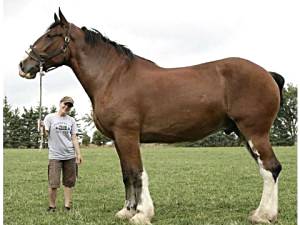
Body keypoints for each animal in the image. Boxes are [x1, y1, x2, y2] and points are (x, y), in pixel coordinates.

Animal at [18, 8, 284, 223]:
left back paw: (263, 215)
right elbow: (127, 174)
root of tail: (267, 74)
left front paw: (142, 214)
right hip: (244, 133)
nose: (24, 65)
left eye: (50, 36)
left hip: (254, 132)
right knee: (268, 169)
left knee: (271, 168)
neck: (113, 76)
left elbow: (137, 172)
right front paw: (127, 211)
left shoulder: (127, 134)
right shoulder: (118, 139)